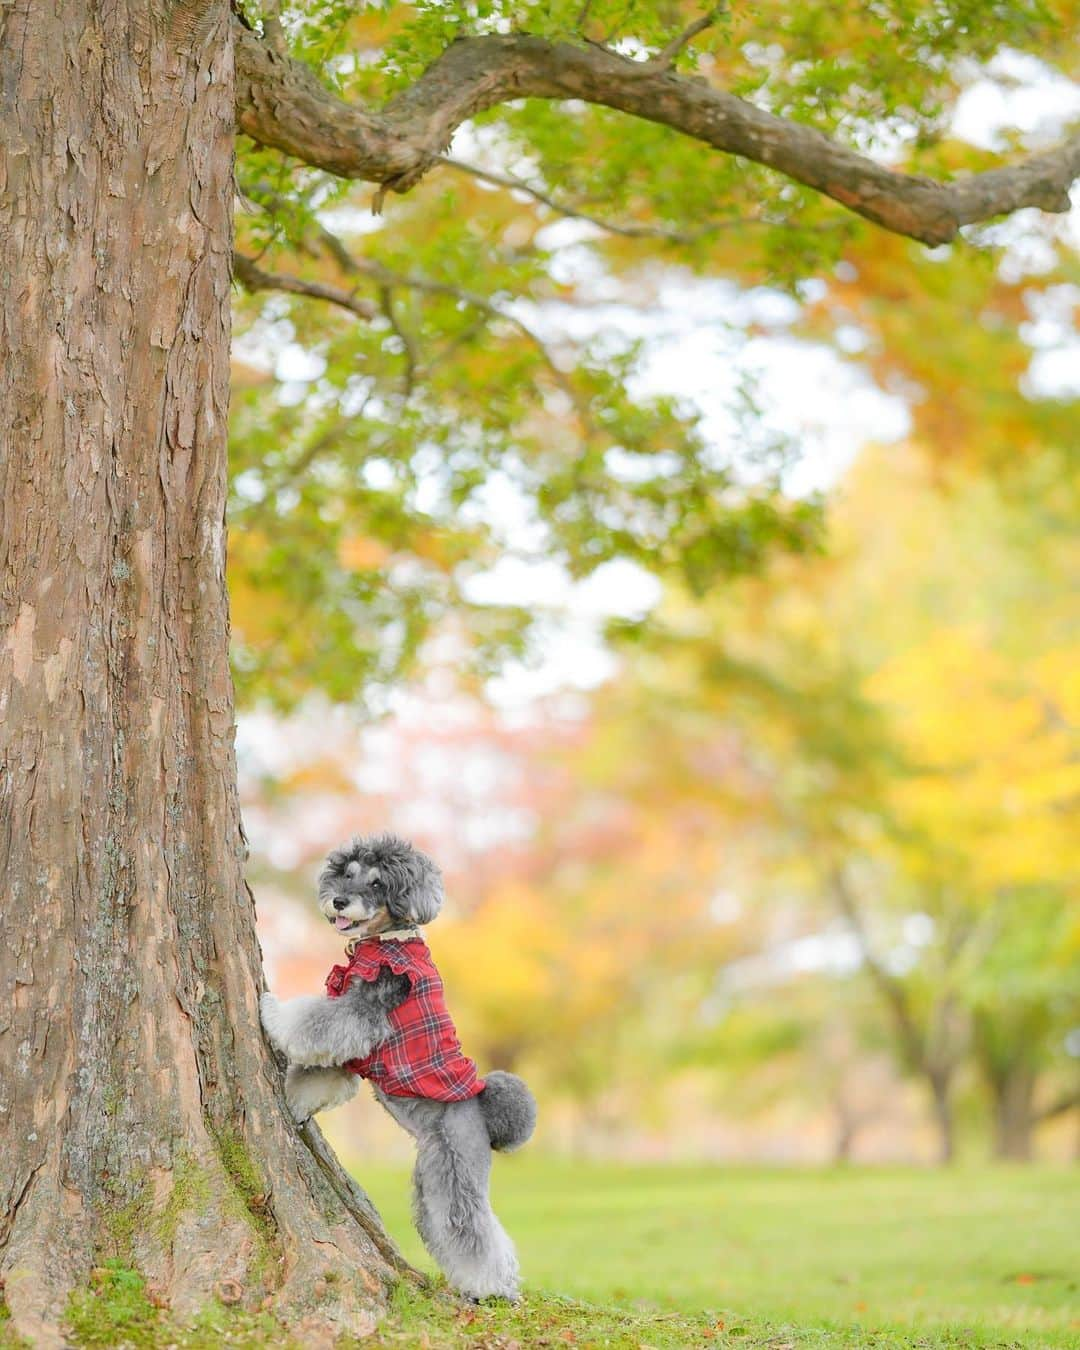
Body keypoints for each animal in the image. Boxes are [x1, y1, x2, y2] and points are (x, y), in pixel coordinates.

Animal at [257, 826, 534, 1301]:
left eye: (377, 884)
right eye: (348, 873)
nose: (339, 901)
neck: (384, 942)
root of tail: (481, 1110)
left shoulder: (360, 1012)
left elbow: (309, 1022)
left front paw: (270, 1008)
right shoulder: (352, 1046)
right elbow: (319, 1074)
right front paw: (293, 1105)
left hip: (456, 1170)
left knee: (473, 1227)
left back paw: (492, 1288)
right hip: (428, 1179)